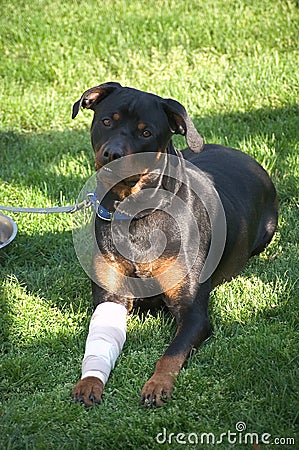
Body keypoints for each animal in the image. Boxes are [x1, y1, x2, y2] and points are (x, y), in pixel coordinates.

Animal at [71, 81, 278, 408]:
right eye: (106, 121)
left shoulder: (193, 312)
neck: (135, 212)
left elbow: (171, 354)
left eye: (146, 133)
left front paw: (157, 385)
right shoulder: (111, 297)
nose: (112, 154)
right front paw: (90, 382)